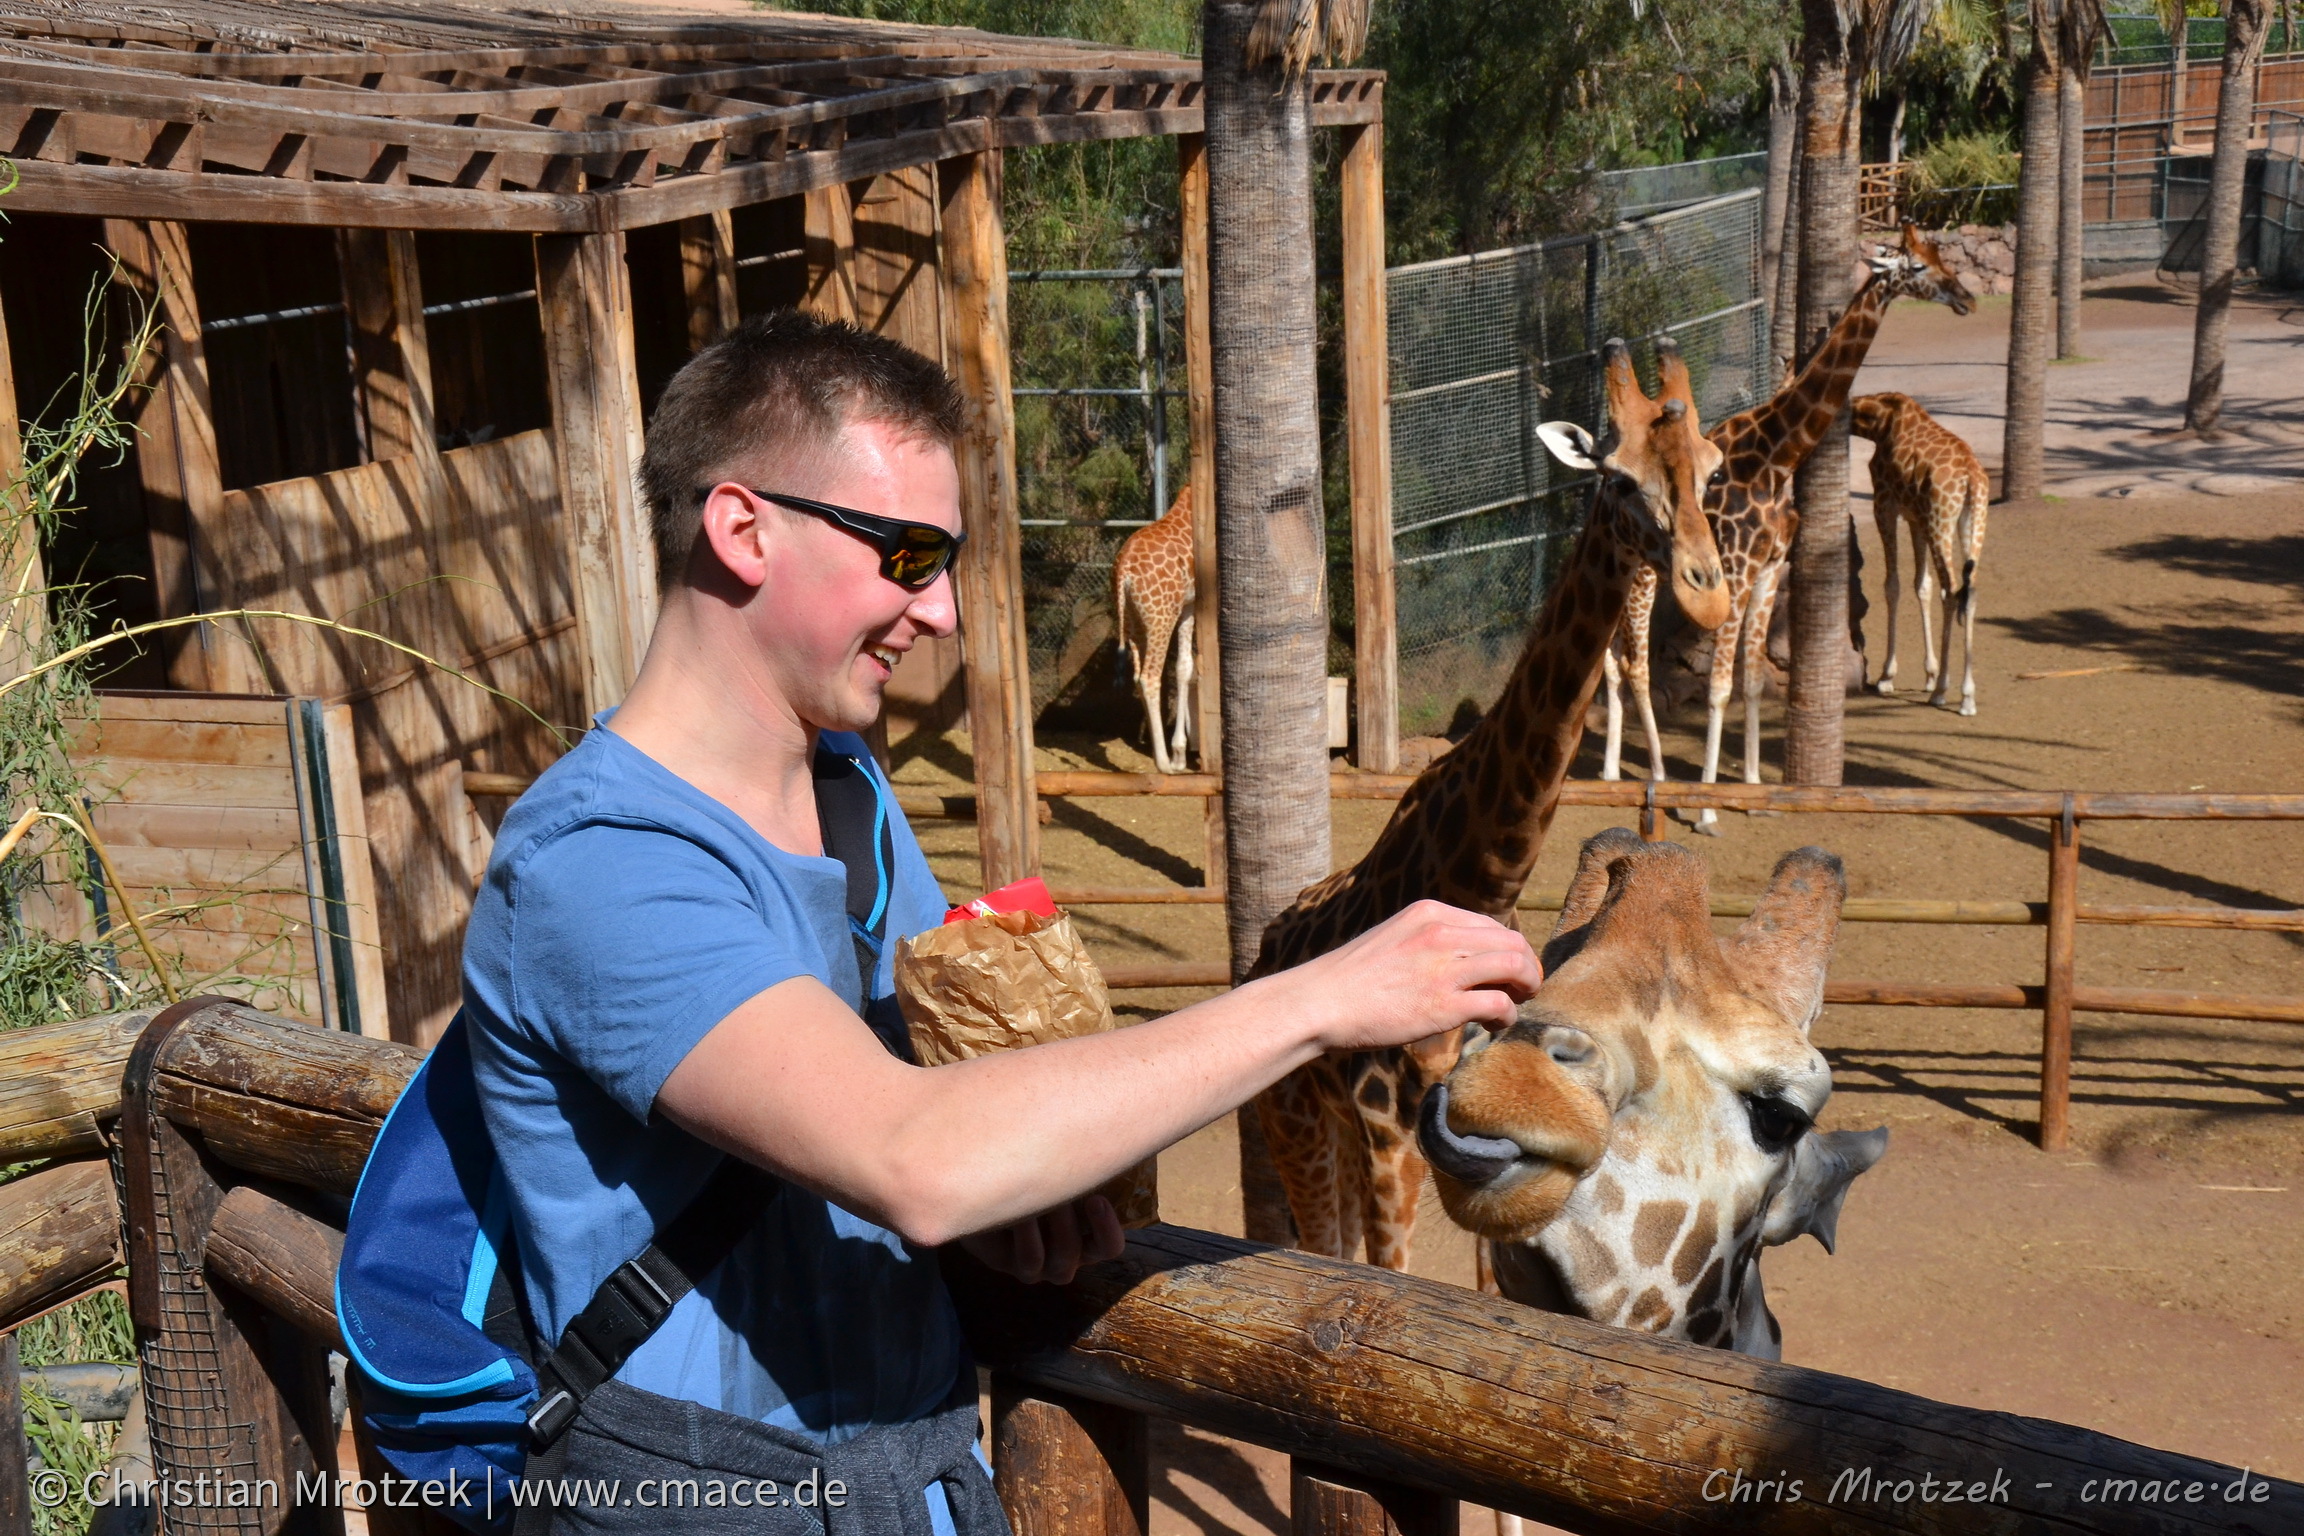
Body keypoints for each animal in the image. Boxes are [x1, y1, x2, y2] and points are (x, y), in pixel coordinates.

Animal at [1105, 492, 1198, 773]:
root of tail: (1123, 571)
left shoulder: (1187, 605)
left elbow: (1185, 667)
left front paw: (1182, 751)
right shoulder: (1190, 604)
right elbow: (1184, 667)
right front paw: (1179, 754)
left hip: (1134, 621)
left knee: (1138, 677)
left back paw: (1158, 755)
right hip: (1160, 617)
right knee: (1150, 677)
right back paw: (1165, 763)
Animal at [1244, 343, 1732, 1271]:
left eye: (1710, 468)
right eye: (1618, 478)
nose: (1711, 596)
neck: (1480, 875)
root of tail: (1261, 953)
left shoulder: (1483, 1115)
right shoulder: (1386, 1131)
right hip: (1297, 1125)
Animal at [1603, 222, 1981, 833]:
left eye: (1941, 254)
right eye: (1920, 266)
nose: (1966, 298)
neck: (1777, 458)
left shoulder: (1768, 570)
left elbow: (1755, 681)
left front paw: (1758, 793)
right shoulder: (1732, 572)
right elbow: (1720, 686)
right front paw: (1707, 809)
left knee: (1614, 658)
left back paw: (1615, 774)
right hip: (1642, 573)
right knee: (1633, 661)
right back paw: (1656, 779)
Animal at [1852, 391, 1999, 713]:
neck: (1876, 423)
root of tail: (1971, 478)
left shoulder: (1885, 504)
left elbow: (1892, 585)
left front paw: (1887, 677)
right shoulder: (1915, 517)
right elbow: (1923, 585)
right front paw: (1929, 673)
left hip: (1940, 520)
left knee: (1952, 589)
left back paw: (1943, 691)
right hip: (1973, 521)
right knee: (1969, 591)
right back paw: (1967, 696)